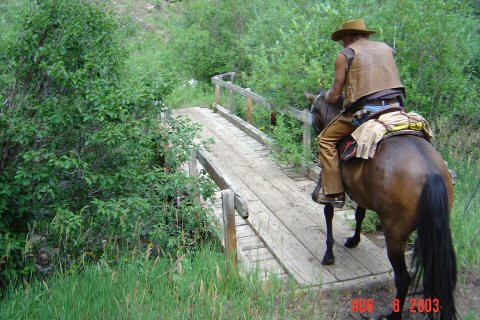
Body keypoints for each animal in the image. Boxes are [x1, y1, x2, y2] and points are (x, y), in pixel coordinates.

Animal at [306, 92, 456, 320]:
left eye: (314, 111)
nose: (317, 129)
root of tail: (431, 173)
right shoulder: (361, 193)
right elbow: (359, 215)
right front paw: (354, 240)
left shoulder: (329, 185)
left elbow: (329, 214)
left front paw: (329, 255)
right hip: (428, 229)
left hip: (394, 235)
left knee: (403, 278)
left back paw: (392, 314)